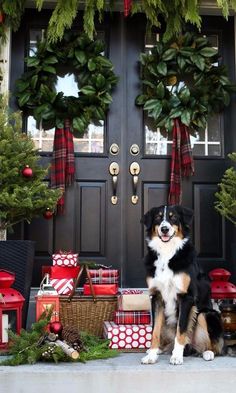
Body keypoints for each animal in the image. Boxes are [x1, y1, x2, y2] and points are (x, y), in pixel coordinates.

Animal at [141, 205, 224, 364]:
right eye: (158, 217)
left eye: (173, 217)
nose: (164, 229)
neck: (167, 252)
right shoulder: (156, 297)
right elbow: (155, 331)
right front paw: (152, 355)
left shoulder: (186, 297)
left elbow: (181, 330)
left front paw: (177, 356)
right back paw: (160, 349)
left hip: (207, 314)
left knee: (215, 346)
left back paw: (208, 353)